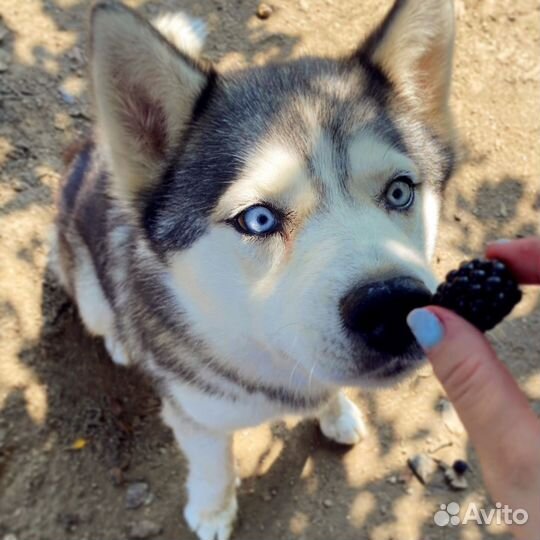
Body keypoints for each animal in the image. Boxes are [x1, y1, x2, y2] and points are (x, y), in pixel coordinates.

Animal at [51, 1, 456, 536]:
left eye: (399, 190)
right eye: (258, 219)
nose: (391, 304)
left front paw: (336, 413)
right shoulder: (196, 417)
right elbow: (214, 466)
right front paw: (212, 509)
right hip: (87, 287)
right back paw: (120, 339)